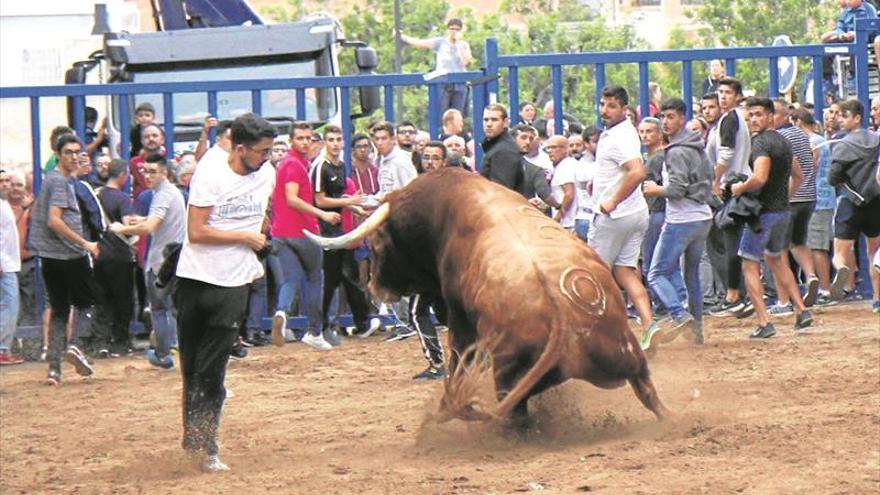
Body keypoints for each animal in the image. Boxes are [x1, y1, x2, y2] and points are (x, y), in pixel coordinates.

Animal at [306, 168, 672, 426]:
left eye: (379, 245)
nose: (375, 288)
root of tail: (565, 318)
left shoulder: (458, 316)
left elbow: (458, 357)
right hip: (627, 356)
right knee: (647, 390)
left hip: (507, 376)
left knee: (515, 414)